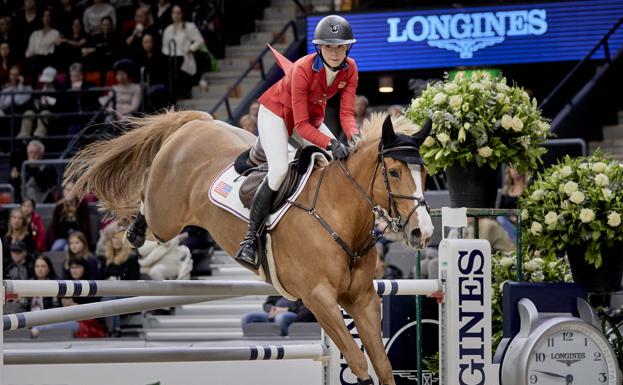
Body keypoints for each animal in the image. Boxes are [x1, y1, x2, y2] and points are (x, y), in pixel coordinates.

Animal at [64, 109, 434, 384]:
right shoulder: (320, 299)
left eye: (425, 173)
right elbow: (358, 362)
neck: (337, 214)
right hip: (166, 217)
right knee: (146, 206)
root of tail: (197, 123)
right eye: (393, 172)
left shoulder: (362, 299)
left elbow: (382, 365)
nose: (423, 232)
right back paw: (133, 232)